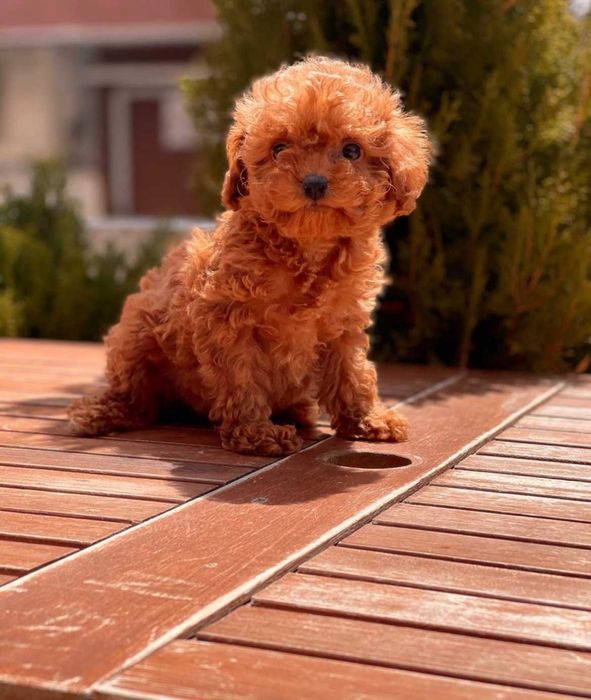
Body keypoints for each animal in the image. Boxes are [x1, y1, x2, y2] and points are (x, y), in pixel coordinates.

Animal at [68, 56, 431, 456]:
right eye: (279, 149)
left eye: (352, 150)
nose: (314, 182)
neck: (307, 247)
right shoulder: (227, 319)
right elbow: (240, 378)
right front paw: (256, 433)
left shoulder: (343, 321)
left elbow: (351, 372)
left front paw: (367, 419)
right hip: (136, 329)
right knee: (136, 395)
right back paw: (102, 412)